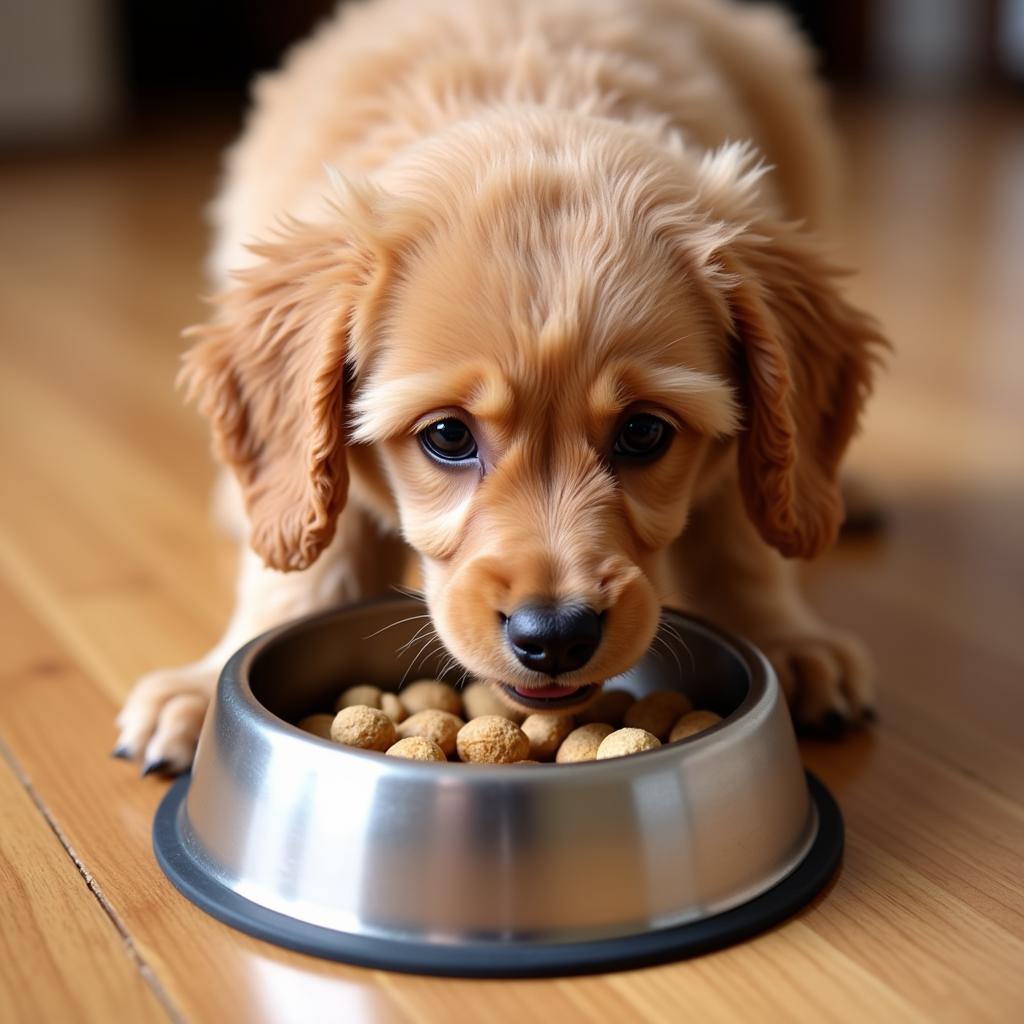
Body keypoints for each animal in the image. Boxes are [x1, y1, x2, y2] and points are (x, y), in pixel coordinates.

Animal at [116, 0, 888, 770]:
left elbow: (737, 538)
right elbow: (314, 558)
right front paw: (200, 690)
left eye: (644, 432)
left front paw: (787, 641)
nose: (556, 637)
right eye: (447, 435)